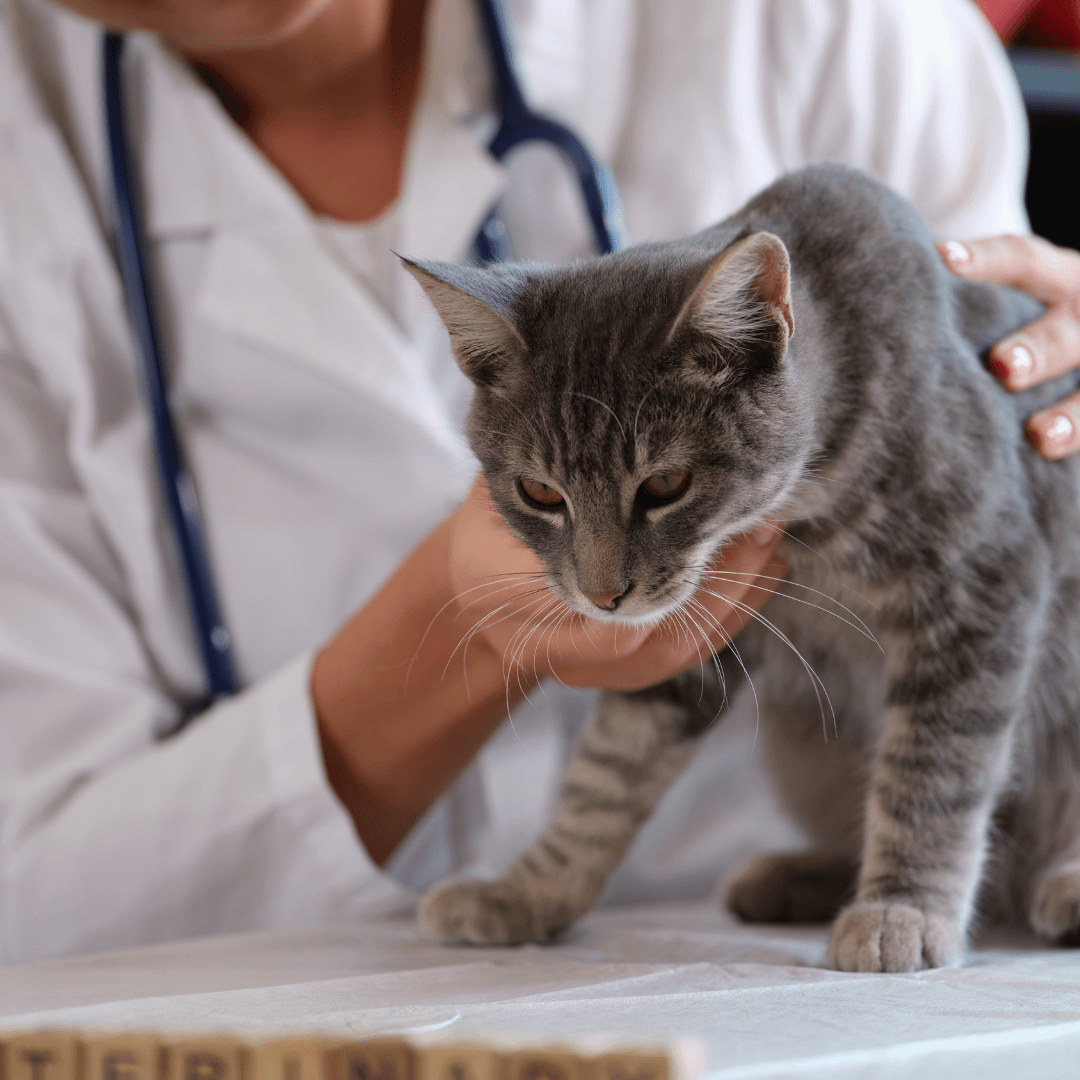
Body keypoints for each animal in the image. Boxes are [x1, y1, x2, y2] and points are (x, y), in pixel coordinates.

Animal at [399, 164, 1080, 976]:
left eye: (665, 484)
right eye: (539, 493)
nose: (602, 596)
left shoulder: (981, 583)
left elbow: (934, 770)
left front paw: (903, 908)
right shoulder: (687, 641)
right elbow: (604, 776)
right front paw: (527, 893)